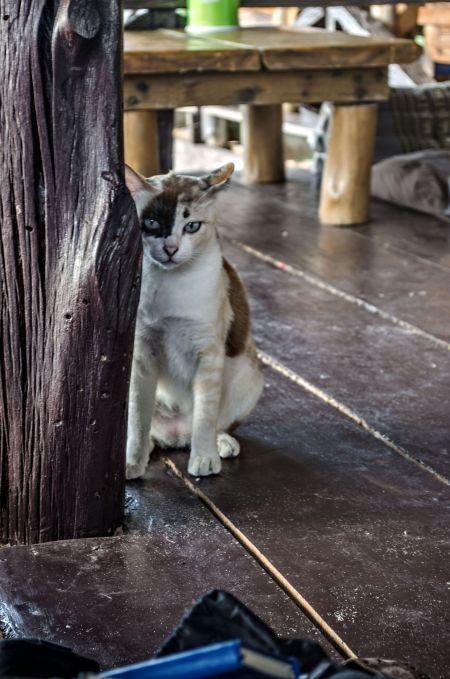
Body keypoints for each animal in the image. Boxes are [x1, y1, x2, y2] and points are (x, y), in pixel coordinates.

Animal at [124, 161, 264, 478]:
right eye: (152, 223)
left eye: (192, 226)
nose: (171, 248)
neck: (170, 289)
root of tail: (175, 437)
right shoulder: (142, 353)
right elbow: (138, 420)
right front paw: (132, 464)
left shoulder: (207, 355)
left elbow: (205, 416)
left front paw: (204, 461)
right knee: (149, 431)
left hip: (250, 374)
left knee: (213, 425)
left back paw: (220, 445)